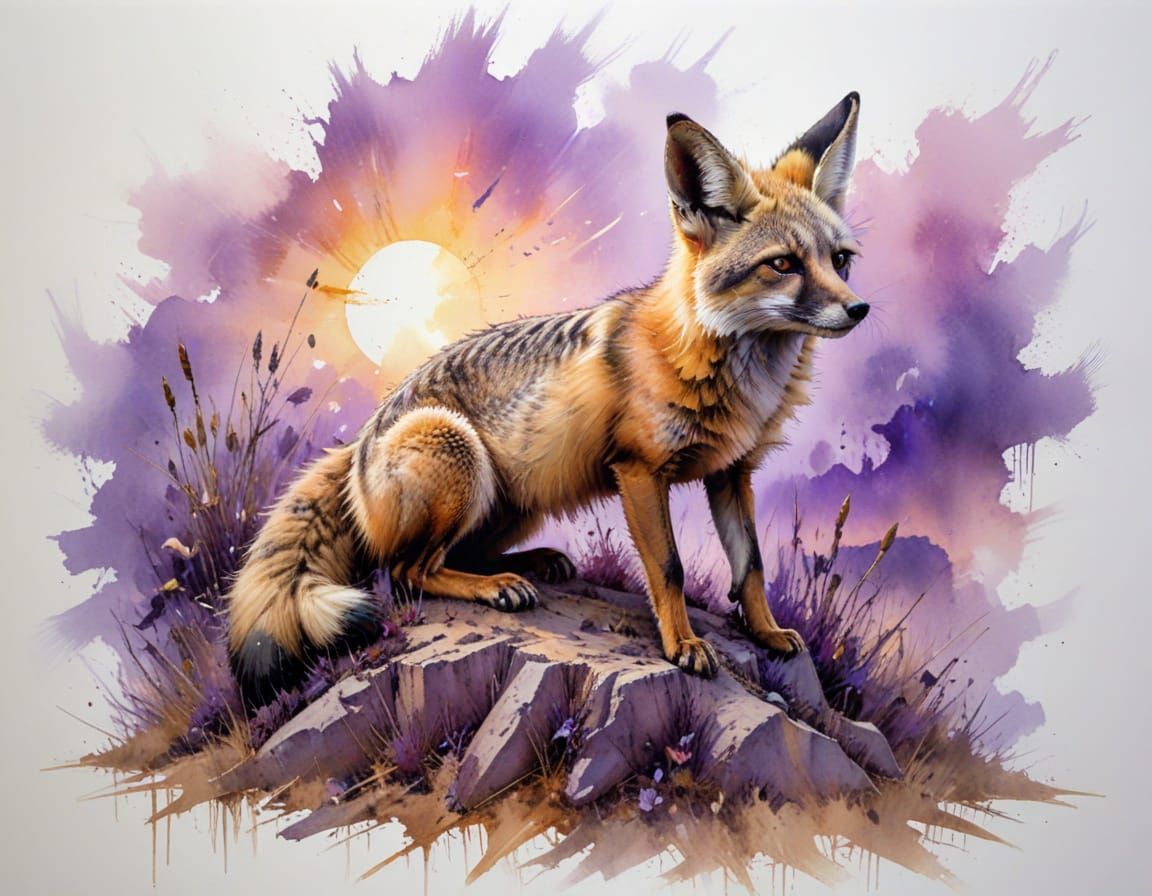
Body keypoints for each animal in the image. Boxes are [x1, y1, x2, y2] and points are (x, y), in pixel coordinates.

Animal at [226, 92, 869, 704]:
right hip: (460, 458)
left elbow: (751, 565)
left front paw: (766, 632)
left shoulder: (732, 472)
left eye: (839, 260)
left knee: (456, 556)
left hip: (518, 501)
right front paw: (682, 643)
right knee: (406, 572)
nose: (859, 309)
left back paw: (532, 565)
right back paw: (495, 587)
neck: (735, 378)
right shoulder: (639, 471)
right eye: (782, 264)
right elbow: (670, 569)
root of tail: (359, 442)